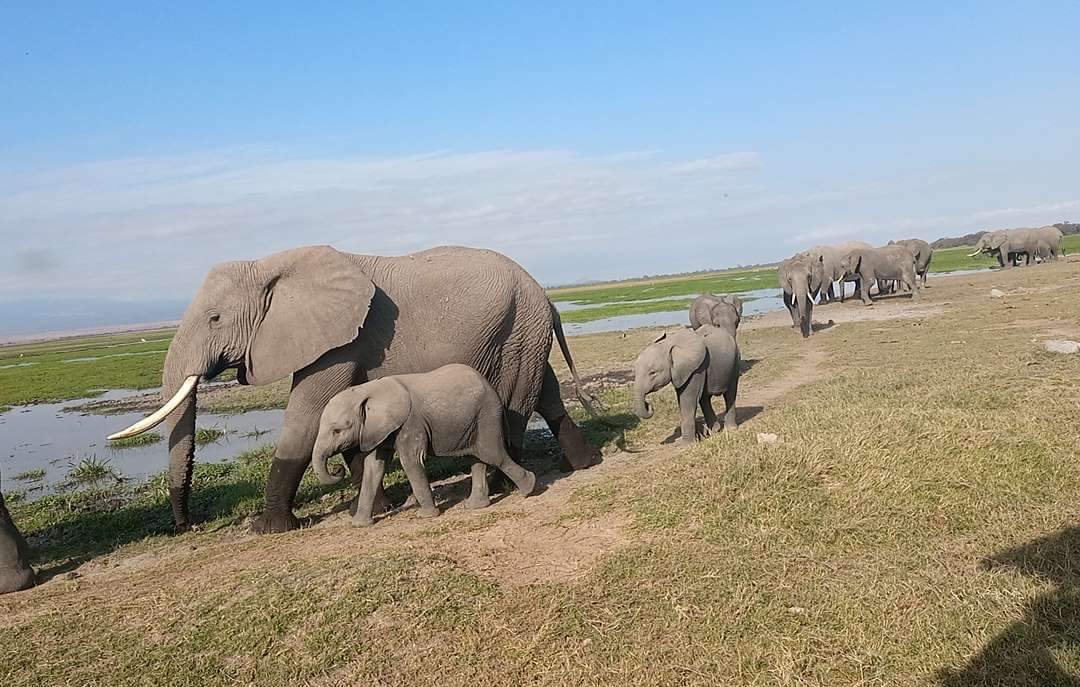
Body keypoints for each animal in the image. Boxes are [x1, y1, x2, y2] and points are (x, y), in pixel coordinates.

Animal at [311, 364, 537, 526]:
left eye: (337, 430)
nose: (337, 468)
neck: (366, 390)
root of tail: (491, 388)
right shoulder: (377, 430)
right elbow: (374, 467)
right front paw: (359, 525)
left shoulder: (410, 424)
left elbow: (410, 462)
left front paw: (426, 515)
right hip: (473, 422)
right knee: (477, 458)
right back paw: (475, 506)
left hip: (487, 416)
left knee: (493, 454)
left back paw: (530, 489)